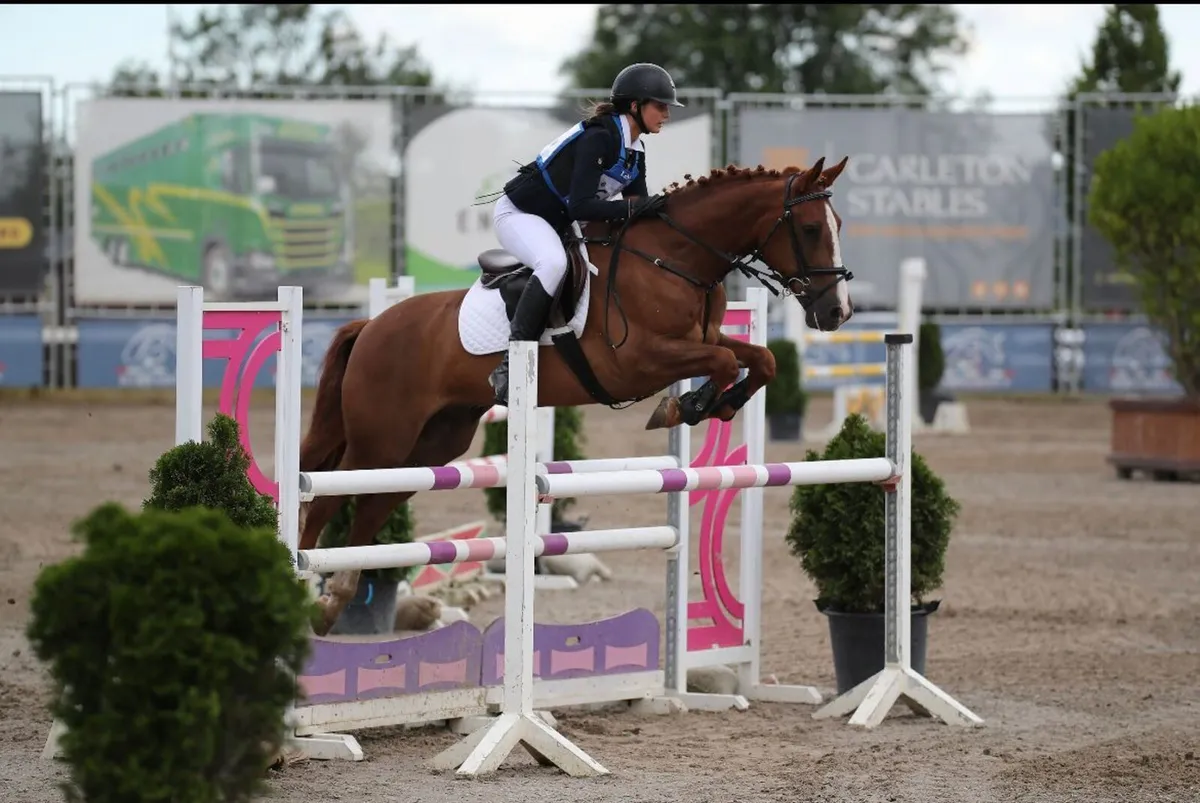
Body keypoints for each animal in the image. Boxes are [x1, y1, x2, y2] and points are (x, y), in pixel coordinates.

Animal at [297, 156, 855, 633]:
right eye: (810, 229)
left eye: (839, 226)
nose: (837, 312)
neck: (673, 258)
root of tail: (371, 326)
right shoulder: (639, 362)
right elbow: (720, 364)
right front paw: (684, 406)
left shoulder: (703, 340)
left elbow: (761, 360)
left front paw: (715, 404)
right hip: (382, 439)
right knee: (325, 498)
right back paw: (304, 593)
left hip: (433, 445)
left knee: (372, 508)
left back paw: (333, 602)